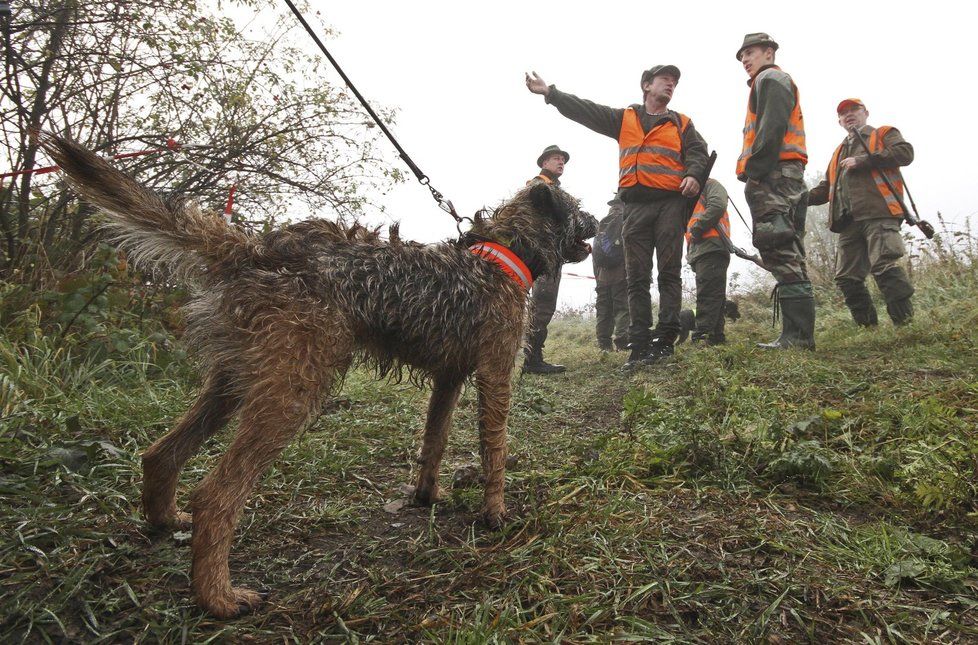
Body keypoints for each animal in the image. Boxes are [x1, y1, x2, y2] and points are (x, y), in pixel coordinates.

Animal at [42, 132, 596, 620]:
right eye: (575, 206)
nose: (595, 221)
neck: (508, 251)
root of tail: (259, 252)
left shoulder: (449, 378)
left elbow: (434, 441)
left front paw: (426, 496)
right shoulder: (495, 373)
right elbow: (494, 449)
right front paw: (495, 513)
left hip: (235, 381)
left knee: (161, 453)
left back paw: (165, 521)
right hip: (295, 389)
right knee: (216, 495)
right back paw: (217, 597)